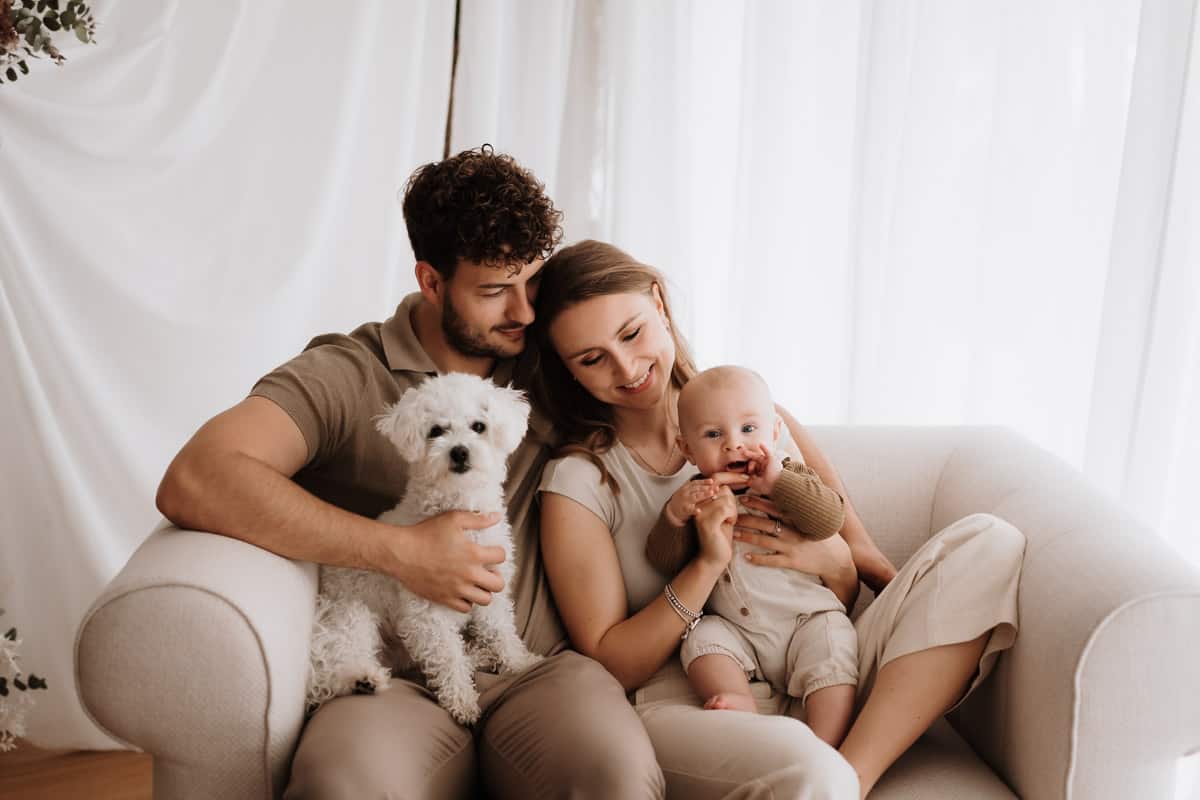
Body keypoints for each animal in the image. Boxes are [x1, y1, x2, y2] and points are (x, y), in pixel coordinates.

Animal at [307, 374, 542, 724]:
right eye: (436, 431)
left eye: (479, 426)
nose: (459, 452)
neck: (458, 508)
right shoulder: (427, 614)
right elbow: (447, 658)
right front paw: (462, 701)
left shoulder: (492, 595)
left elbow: (501, 632)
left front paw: (519, 662)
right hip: (351, 616)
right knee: (329, 667)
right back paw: (361, 678)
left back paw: (478, 655)